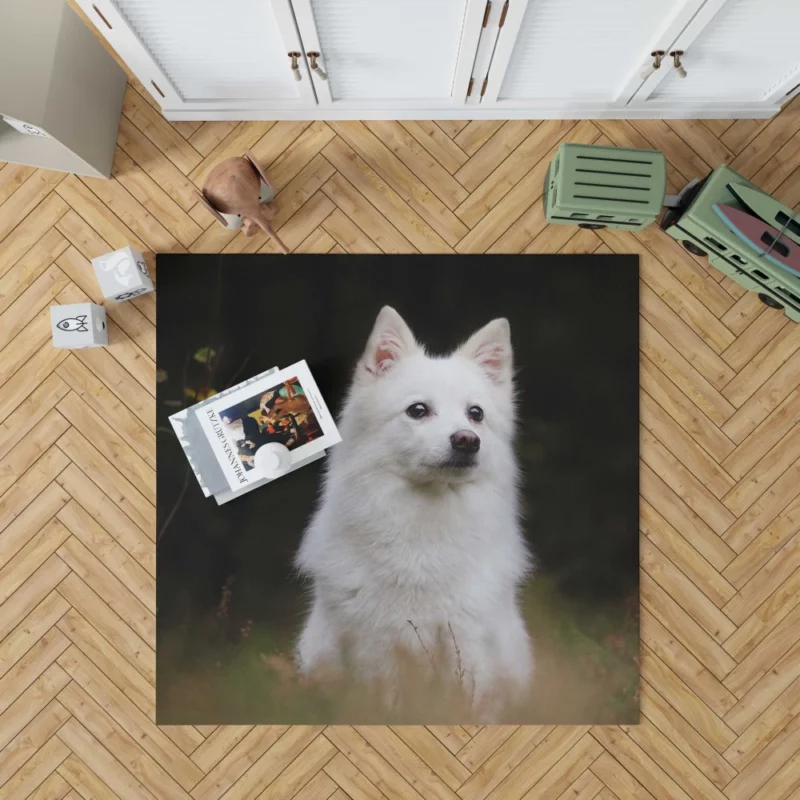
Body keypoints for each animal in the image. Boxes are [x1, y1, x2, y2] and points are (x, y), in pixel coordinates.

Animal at [294, 308, 532, 720]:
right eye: (418, 411)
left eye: (476, 414)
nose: (467, 441)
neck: (425, 528)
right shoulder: (379, 648)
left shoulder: (466, 643)